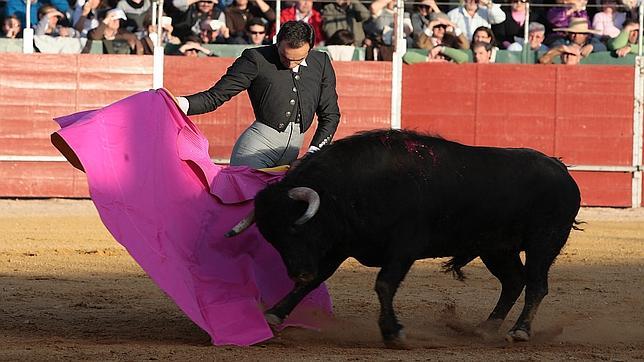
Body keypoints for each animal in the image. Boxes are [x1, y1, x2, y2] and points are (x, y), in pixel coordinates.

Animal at [228, 130, 584, 348]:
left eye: (296, 228)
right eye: (271, 238)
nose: (298, 272)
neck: (349, 189)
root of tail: (560, 168)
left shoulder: (403, 249)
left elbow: (384, 284)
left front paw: (393, 332)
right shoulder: (339, 247)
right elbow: (314, 283)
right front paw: (274, 314)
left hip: (543, 241)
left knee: (536, 284)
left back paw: (519, 331)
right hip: (497, 248)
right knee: (513, 281)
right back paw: (486, 328)